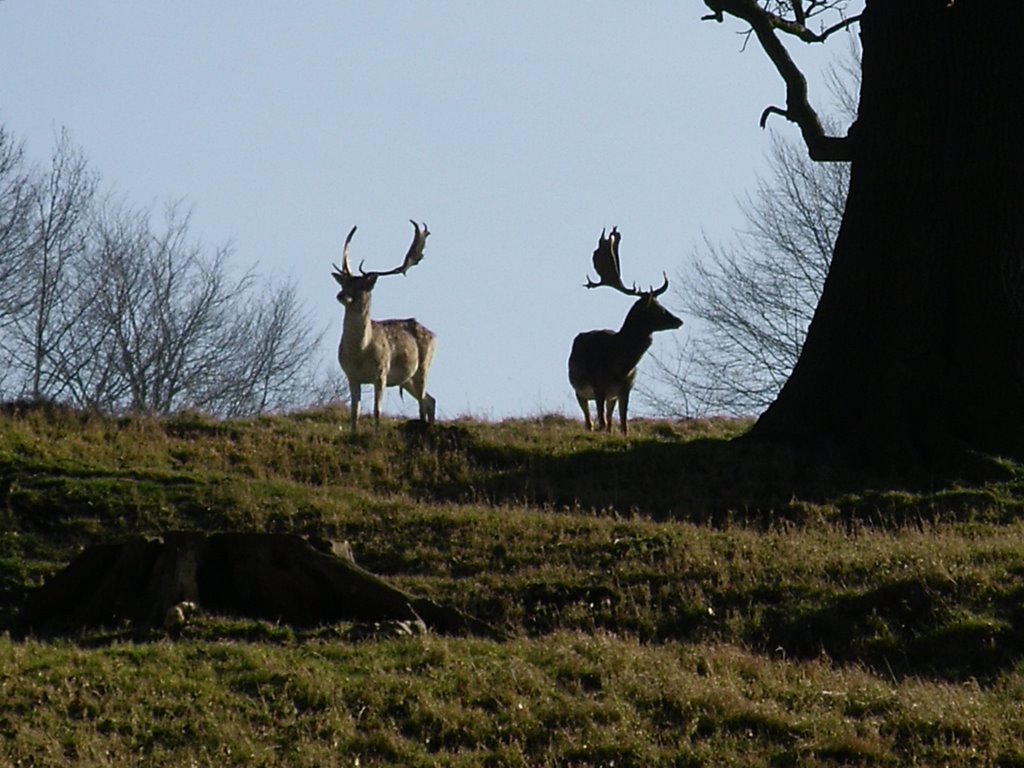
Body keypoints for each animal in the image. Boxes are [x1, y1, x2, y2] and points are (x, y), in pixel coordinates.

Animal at [331, 221, 436, 434]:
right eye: (344, 283)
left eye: (362, 287)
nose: (341, 295)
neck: (359, 353)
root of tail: (435, 335)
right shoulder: (351, 376)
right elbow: (354, 412)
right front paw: (353, 434)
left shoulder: (381, 373)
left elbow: (377, 411)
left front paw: (376, 434)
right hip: (407, 379)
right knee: (430, 400)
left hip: (423, 367)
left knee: (423, 401)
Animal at [569, 225, 679, 436]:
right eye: (656, 308)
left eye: (661, 304)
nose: (679, 321)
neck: (620, 366)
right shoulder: (598, 385)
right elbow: (601, 421)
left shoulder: (626, 388)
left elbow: (623, 423)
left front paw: (622, 433)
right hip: (579, 389)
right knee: (589, 420)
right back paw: (591, 428)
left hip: (609, 396)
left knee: (608, 420)